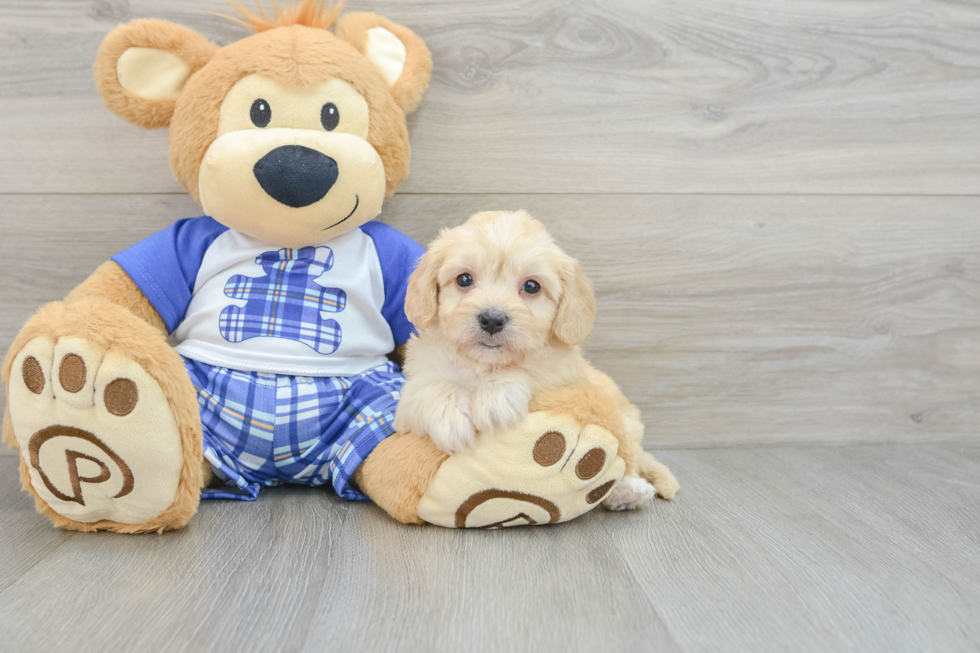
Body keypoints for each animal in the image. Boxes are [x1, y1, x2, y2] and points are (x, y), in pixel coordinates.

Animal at [394, 211, 676, 506]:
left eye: (531, 286)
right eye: (464, 279)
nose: (492, 319)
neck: (483, 364)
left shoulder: (562, 374)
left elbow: (530, 367)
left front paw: (496, 398)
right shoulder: (407, 405)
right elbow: (432, 387)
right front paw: (451, 420)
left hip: (625, 422)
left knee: (628, 461)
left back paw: (627, 490)